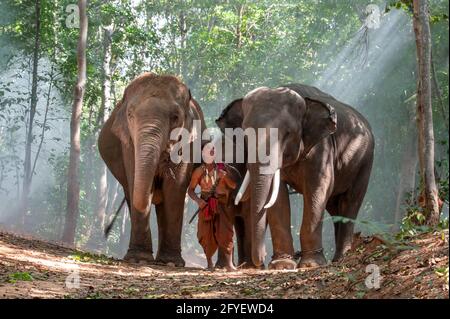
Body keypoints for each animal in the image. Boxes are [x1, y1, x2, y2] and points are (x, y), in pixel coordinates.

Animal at [98, 73, 206, 268]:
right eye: (130, 115)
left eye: (175, 117)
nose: (106, 231)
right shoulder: (128, 144)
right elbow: (135, 180)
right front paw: (139, 259)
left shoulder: (188, 143)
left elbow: (174, 190)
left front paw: (172, 263)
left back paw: (164, 260)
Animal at [220, 84, 374, 268]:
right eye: (244, 134)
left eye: (287, 133)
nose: (262, 259)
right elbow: (277, 196)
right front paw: (281, 265)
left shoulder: (321, 148)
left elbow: (317, 188)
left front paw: (311, 264)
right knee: (334, 206)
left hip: (365, 162)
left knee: (350, 202)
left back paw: (342, 258)